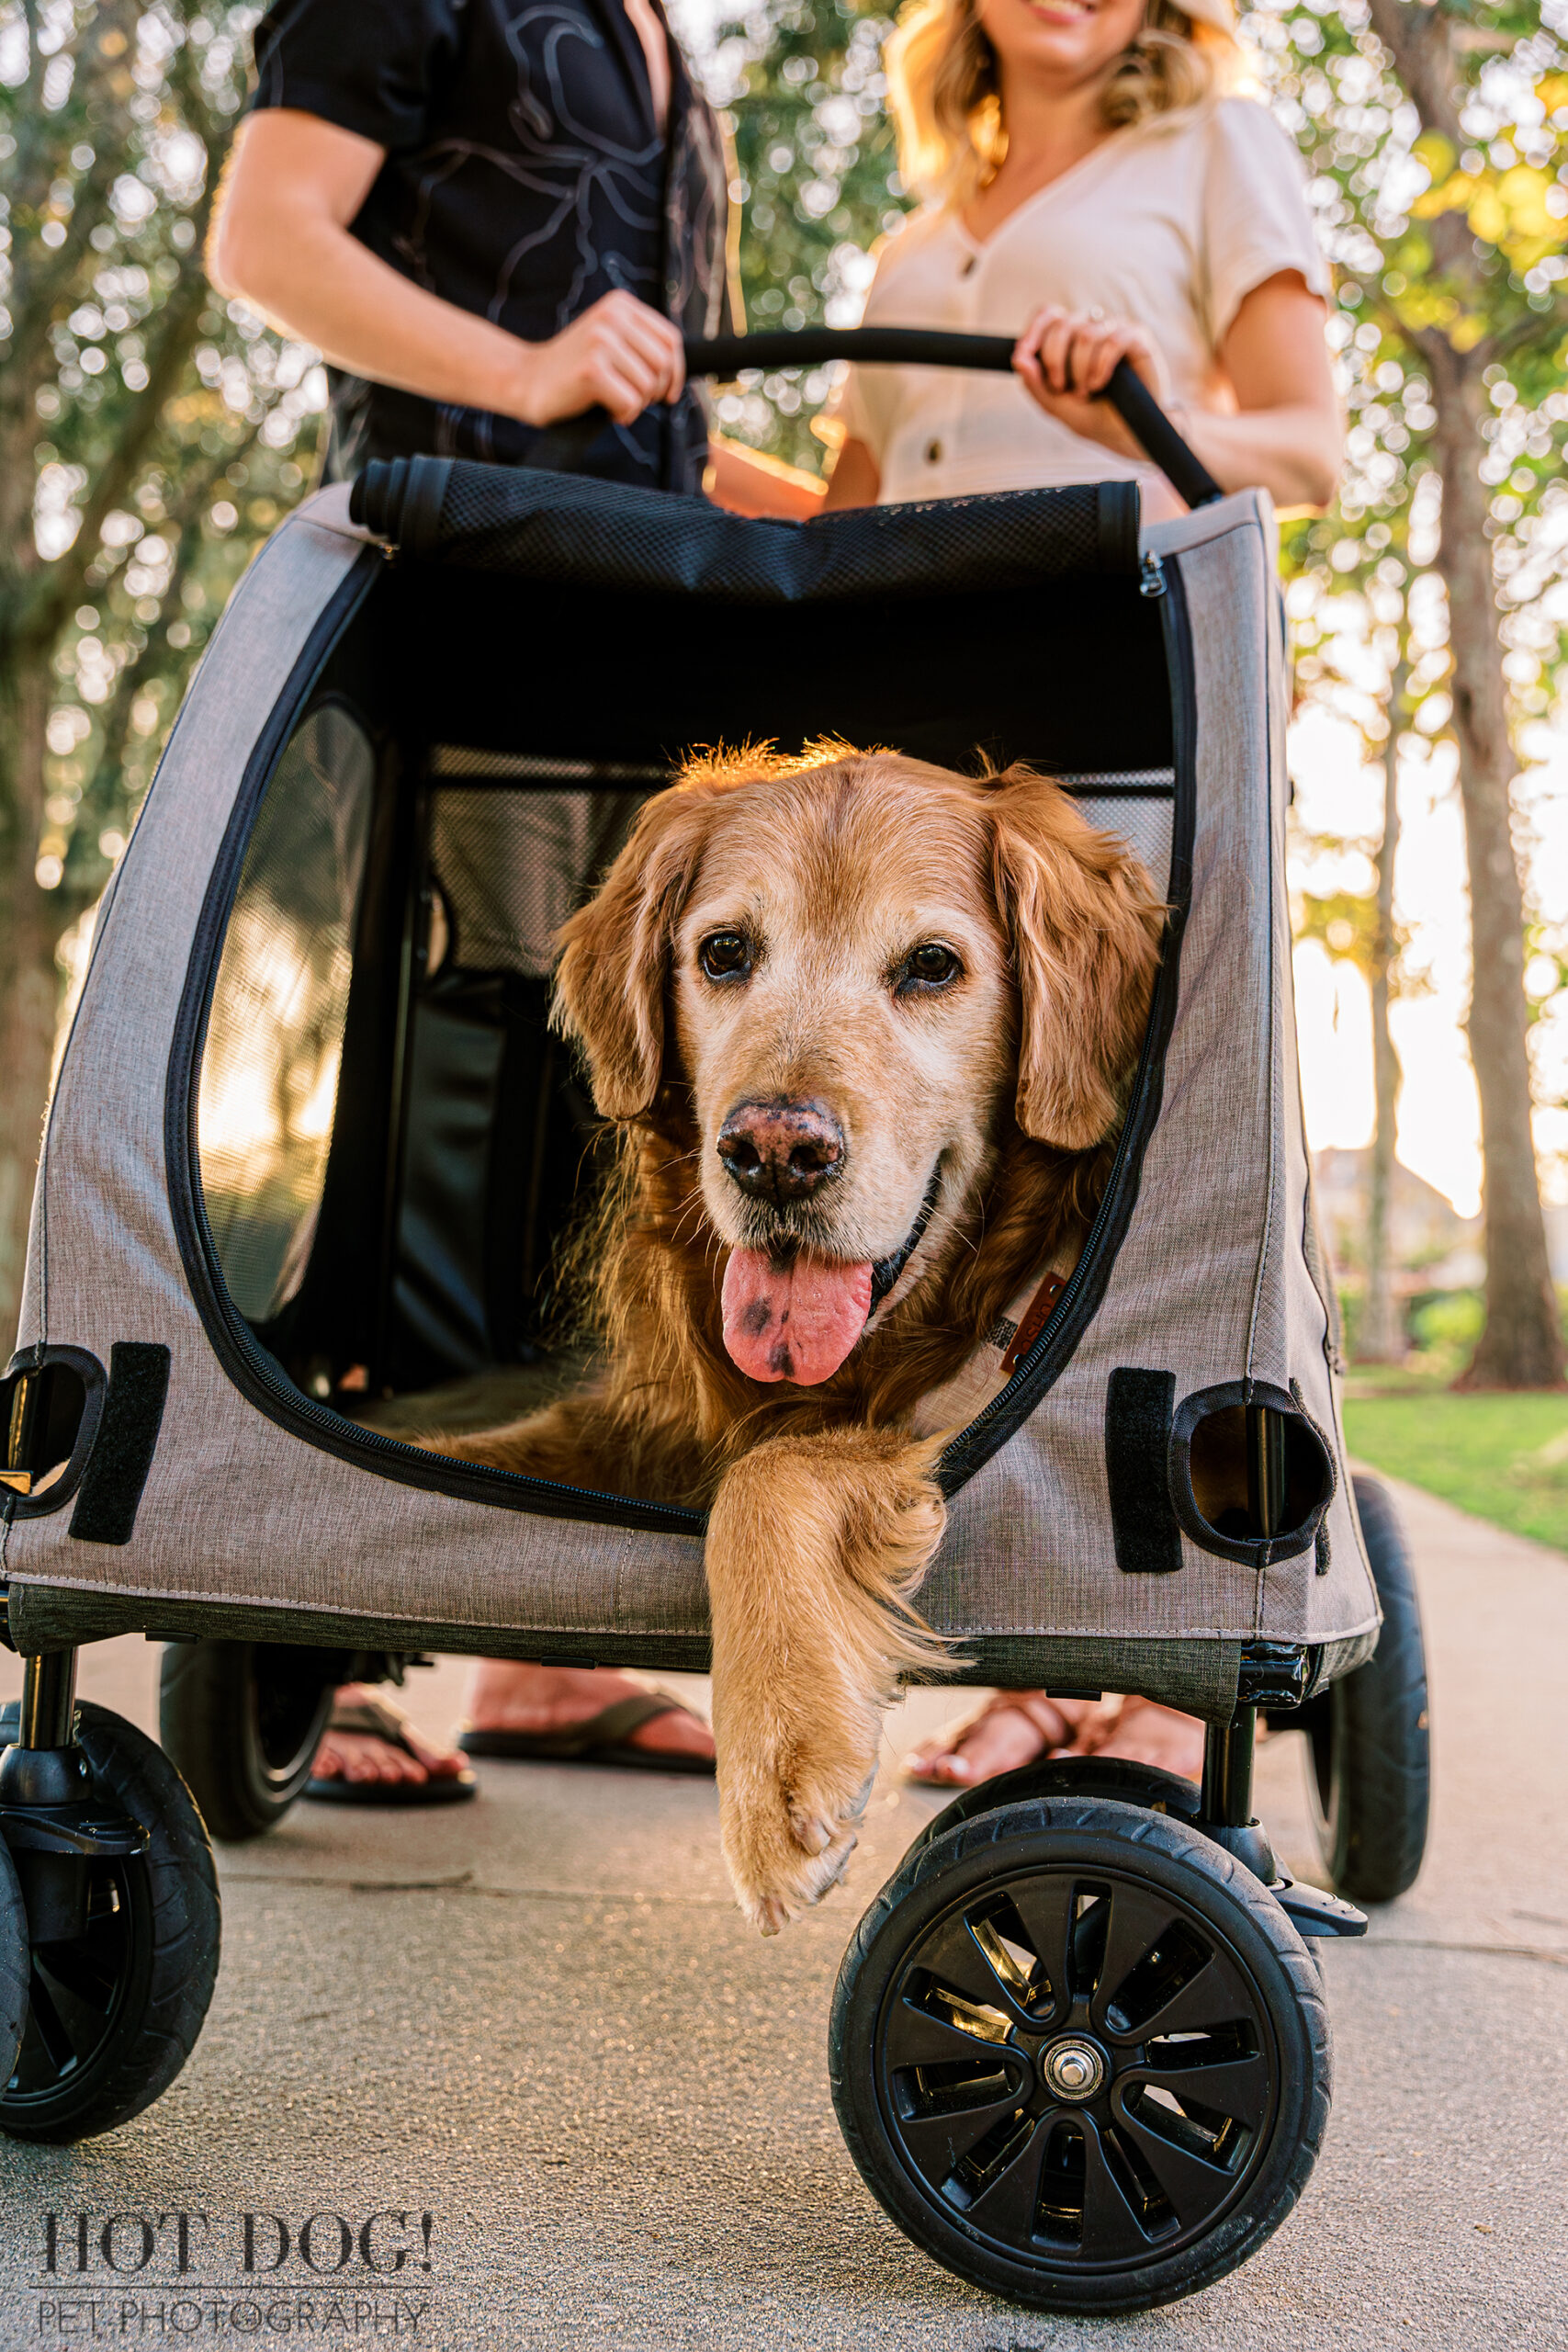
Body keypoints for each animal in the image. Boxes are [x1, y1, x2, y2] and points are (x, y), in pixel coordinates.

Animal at [430, 748, 1166, 1928]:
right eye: (724, 952)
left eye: (931, 966)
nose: (776, 1151)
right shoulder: (651, 1425)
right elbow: (474, 1454)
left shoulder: (940, 1426)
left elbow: (769, 1480)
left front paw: (776, 1761)